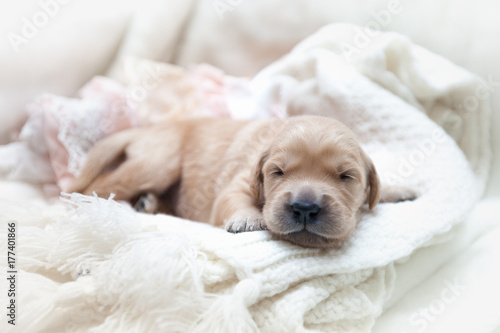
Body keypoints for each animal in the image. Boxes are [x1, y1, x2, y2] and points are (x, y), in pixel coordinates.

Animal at [67, 115, 414, 248]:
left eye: (346, 177)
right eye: (277, 172)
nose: (305, 207)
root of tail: (144, 130)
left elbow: (375, 189)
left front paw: (395, 190)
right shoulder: (237, 183)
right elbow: (233, 199)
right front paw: (248, 219)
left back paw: (147, 202)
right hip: (157, 162)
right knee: (95, 186)